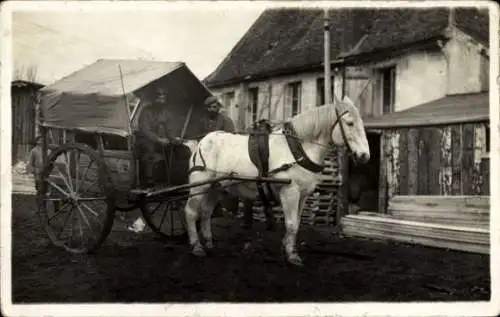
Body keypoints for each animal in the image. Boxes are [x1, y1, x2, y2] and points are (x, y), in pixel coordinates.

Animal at [184, 95, 372, 264]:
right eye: (350, 123)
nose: (364, 156)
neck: (298, 149)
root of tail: (201, 143)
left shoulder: (303, 194)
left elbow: (296, 224)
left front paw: (287, 247)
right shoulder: (290, 192)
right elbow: (291, 224)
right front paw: (292, 256)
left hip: (216, 187)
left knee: (206, 212)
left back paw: (208, 243)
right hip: (199, 186)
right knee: (191, 212)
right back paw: (197, 246)